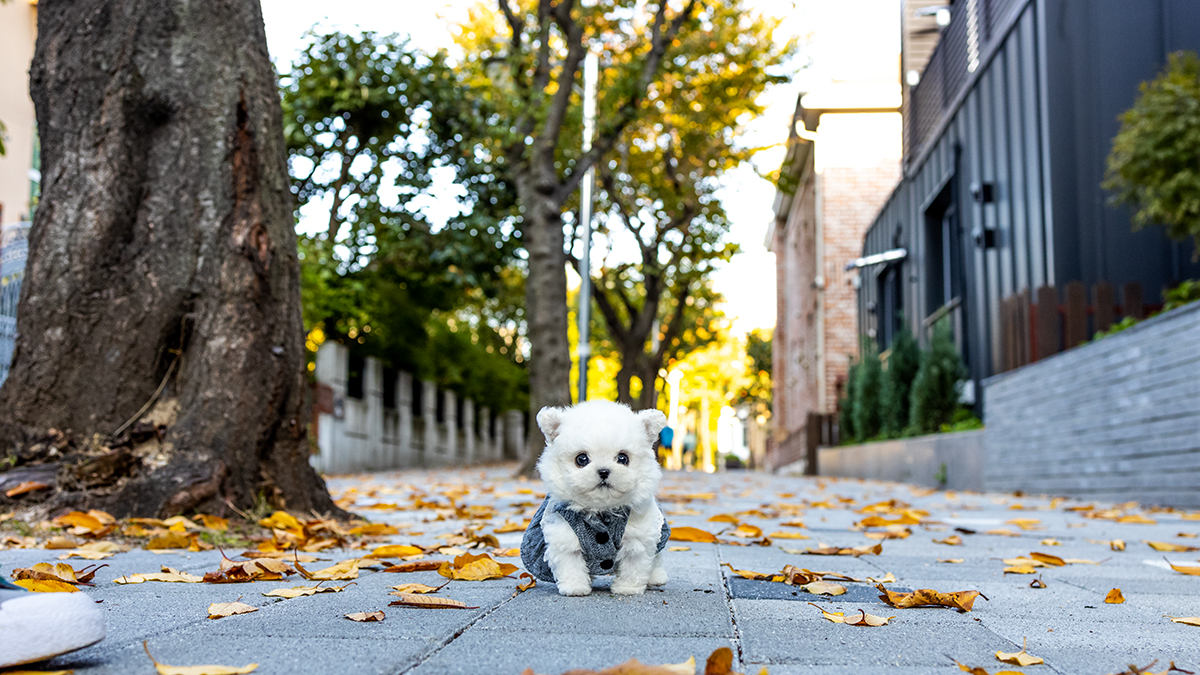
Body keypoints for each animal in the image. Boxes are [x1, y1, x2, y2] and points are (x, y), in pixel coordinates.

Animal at [520, 398, 672, 593]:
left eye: (623, 458)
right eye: (581, 459)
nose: (604, 471)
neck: (602, 509)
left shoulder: (638, 537)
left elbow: (634, 564)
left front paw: (627, 588)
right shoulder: (564, 535)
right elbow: (570, 563)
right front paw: (575, 587)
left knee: (657, 557)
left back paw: (656, 578)